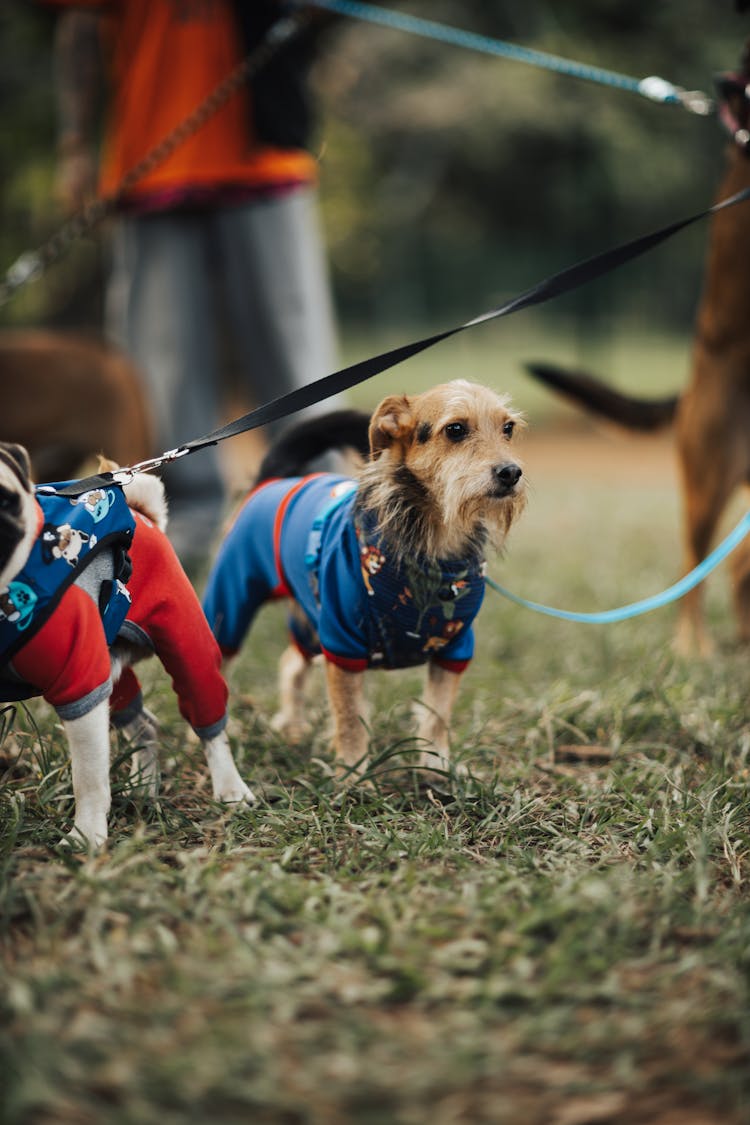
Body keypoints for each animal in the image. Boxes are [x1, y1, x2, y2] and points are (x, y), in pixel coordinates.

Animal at [0, 443, 254, 846]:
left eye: (5, 501)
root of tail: (140, 511)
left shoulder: (80, 684)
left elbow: (88, 778)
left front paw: (85, 836)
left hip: (184, 644)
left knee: (209, 720)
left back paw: (230, 789)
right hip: (108, 664)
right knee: (144, 724)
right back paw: (144, 789)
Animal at [202, 382, 526, 778]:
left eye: (508, 428)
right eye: (455, 429)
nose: (511, 472)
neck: (434, 550)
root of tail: (277, 479)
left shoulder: (454, 648)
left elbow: (437, 715)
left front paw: (437, 767)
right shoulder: (342, 644)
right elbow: (350, 719)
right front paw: (354, 777)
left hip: (310, 620)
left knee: (290, 663)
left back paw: (292, 726)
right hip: (232, 601)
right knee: (218, 664)